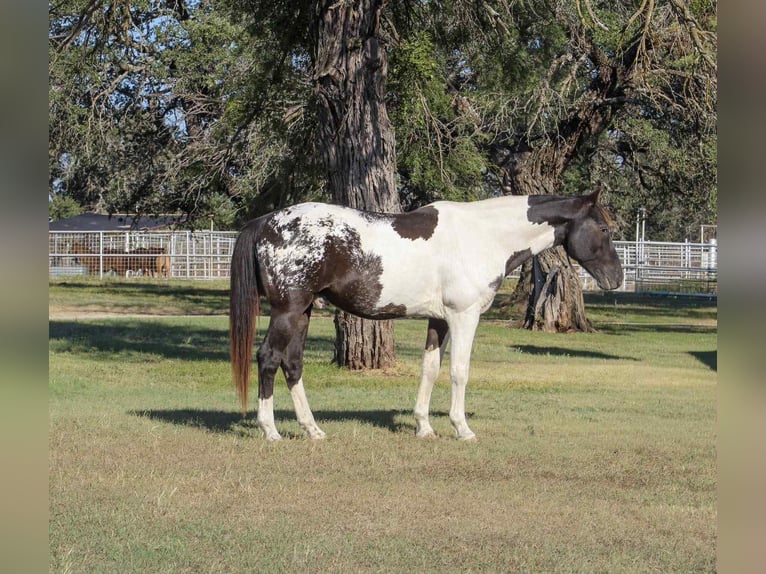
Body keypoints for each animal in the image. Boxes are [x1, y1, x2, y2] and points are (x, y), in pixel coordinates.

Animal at [229, 191, 623, 441]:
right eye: (603, 229)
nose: (616, 278)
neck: (483, 236)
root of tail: (266, 222)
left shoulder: (440, 320)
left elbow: (430, 370)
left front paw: (424, 427)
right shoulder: (464, 316)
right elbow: (459, 372)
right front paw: (462, 429)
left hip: (303, 311)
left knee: (292, 364)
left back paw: (312, 430)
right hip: (288, 310)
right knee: (269, 359)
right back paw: (271, 431)